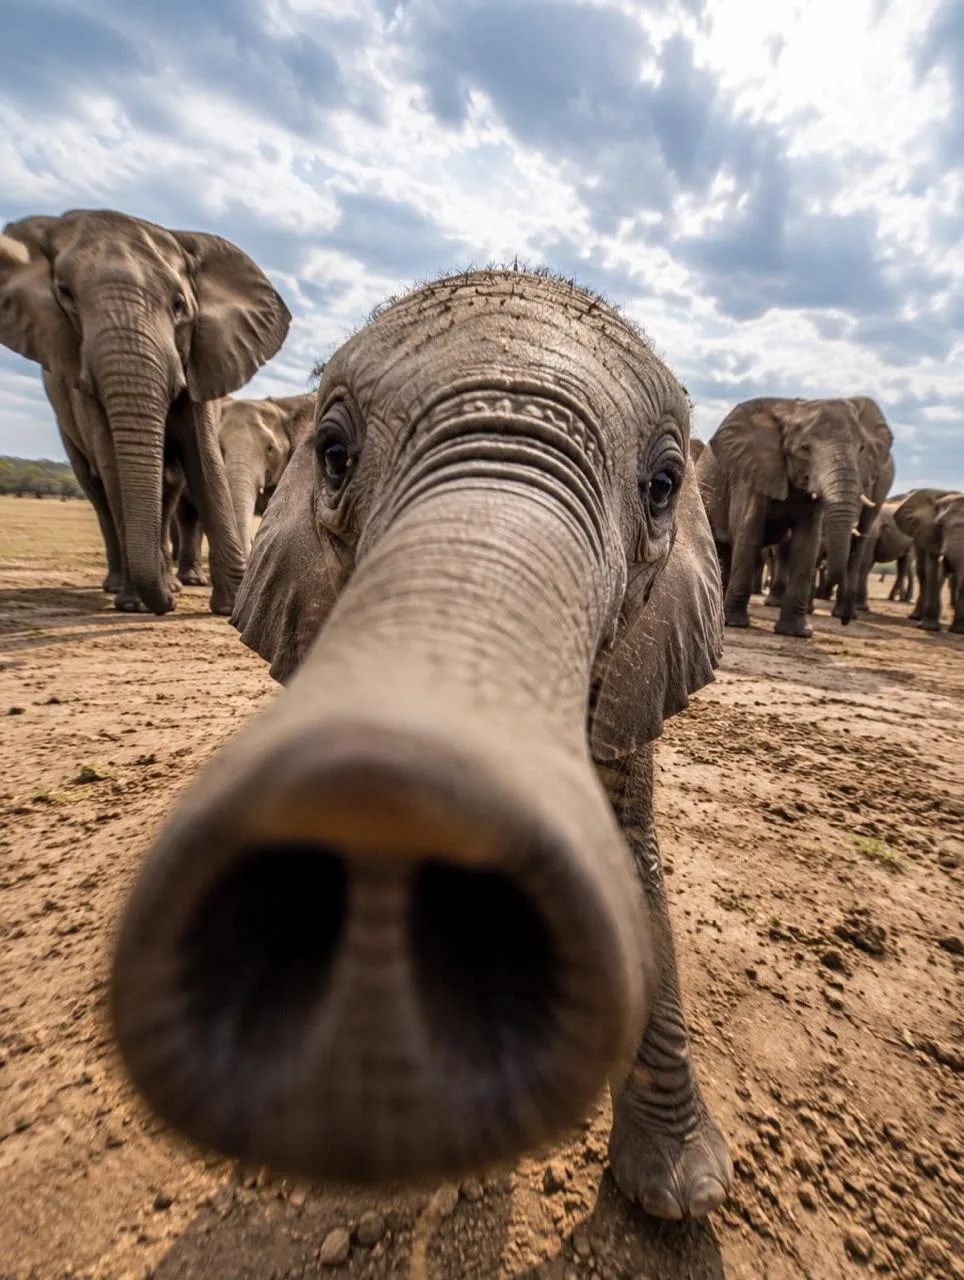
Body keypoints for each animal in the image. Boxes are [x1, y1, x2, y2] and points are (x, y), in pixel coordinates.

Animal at [0, 210, 290, 614]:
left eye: (179, 306)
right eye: (66, 295)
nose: (166, 604)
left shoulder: (200, 356)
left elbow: (203, 460)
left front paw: (230, 608)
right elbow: (112, 461)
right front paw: (138, 604)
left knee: (169, 494)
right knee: (98, 491)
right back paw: (127, 584)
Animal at [696, 395, 893, 637]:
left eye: (862, 448)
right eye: (805, 448)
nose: (845, 621)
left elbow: (807, 544)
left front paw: (797, 632)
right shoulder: (749, 473)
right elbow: (748, 532)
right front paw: (735, 623)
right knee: (722, 546)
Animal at [893, 489, 964, 632]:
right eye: (939, 525)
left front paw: (958, 631)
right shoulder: (930, 534)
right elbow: (932, 567)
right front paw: (929, 628)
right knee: (922, 572)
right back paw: (916, 617)